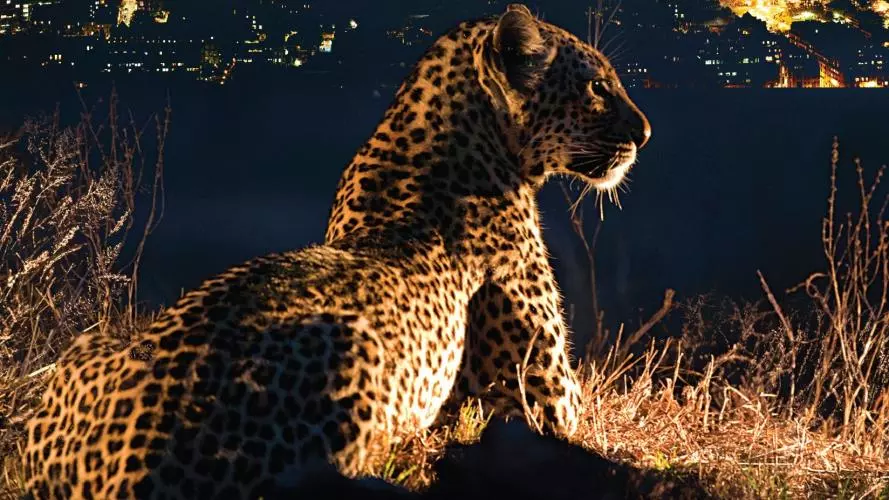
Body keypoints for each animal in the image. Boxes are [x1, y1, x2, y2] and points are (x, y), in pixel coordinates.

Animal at [22, 4, 650, 499]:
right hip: (354, 351)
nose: (644, 135)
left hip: (87, 344)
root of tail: (125, 468)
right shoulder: (545, 401)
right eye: (597, 86)